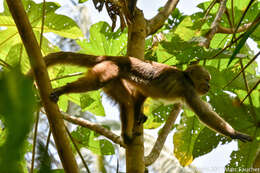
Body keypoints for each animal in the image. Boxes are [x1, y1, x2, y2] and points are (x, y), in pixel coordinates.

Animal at [39, 51, 253, 143]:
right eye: (207, 79)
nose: (208, 86)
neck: (186, 78)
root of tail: (111, 58)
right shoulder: (188, 89)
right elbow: (204, 115)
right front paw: (235, 133)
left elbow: (141, 94)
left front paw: (140, 112)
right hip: (109, 69)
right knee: (97, 83)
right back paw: (63, 89)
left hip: (114, 79)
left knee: (125, 100)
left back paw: (126, 133)